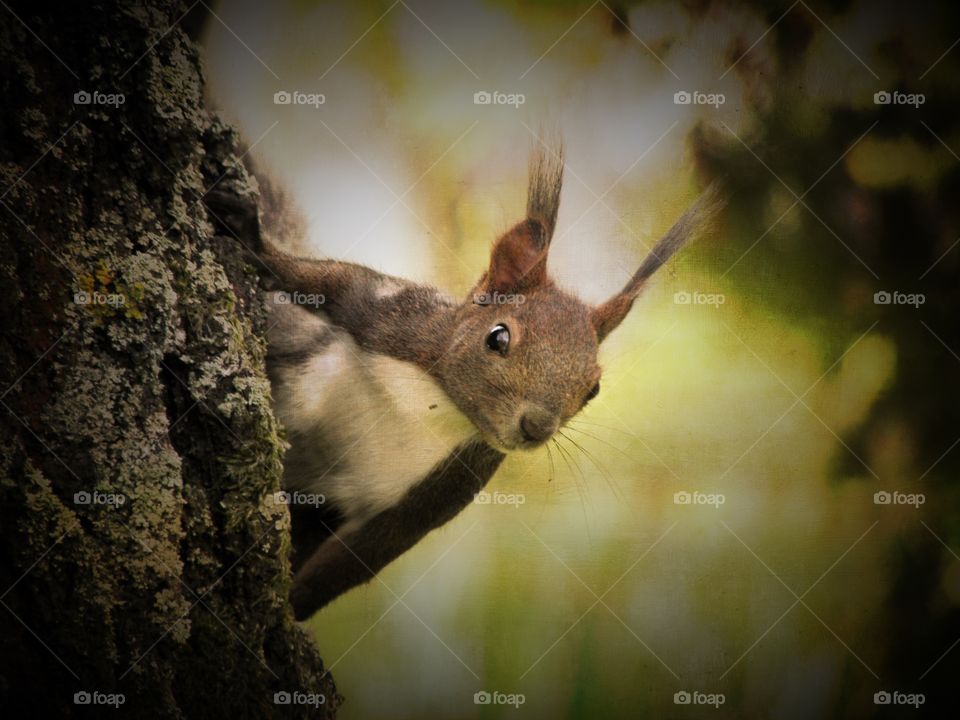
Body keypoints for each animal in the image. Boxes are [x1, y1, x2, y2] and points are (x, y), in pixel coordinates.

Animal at [205, 144, 722, 620]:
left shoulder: (439, 491)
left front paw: (288, 621)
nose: (537, 427)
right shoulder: (393, 315)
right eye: (498, 336)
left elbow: (354, 562)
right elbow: (318, 277)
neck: (433, 403)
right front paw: (251, 239)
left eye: (593, 389)